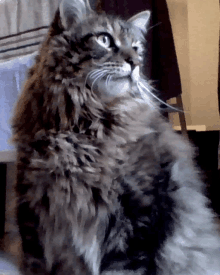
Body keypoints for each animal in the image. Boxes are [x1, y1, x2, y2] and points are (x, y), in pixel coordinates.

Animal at [11, 0, 220, 274]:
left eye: (136, 48)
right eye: (104, 39)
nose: (135, 62)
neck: (86, 128)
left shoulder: (136, 216)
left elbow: (124, 266)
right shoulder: (32, 214)